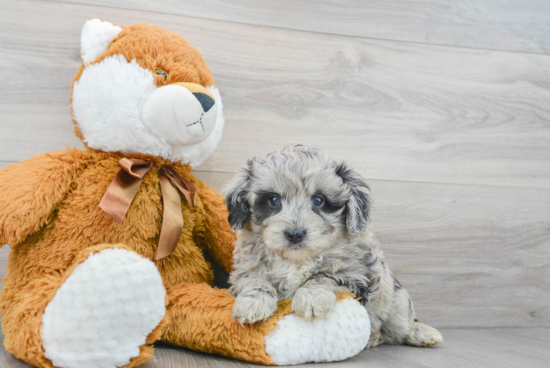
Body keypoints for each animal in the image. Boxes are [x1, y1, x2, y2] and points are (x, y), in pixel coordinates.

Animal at [224, 144, 444, 348]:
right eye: (273, 200)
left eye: (318, 200)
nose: (295, 234)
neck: (297, 260)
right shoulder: (243, 269)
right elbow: (255, 280)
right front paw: (252, 303)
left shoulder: (356, 275)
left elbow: (323, 275)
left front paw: (311, 297)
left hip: (397, 301)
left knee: (402, 326)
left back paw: (422, 334)